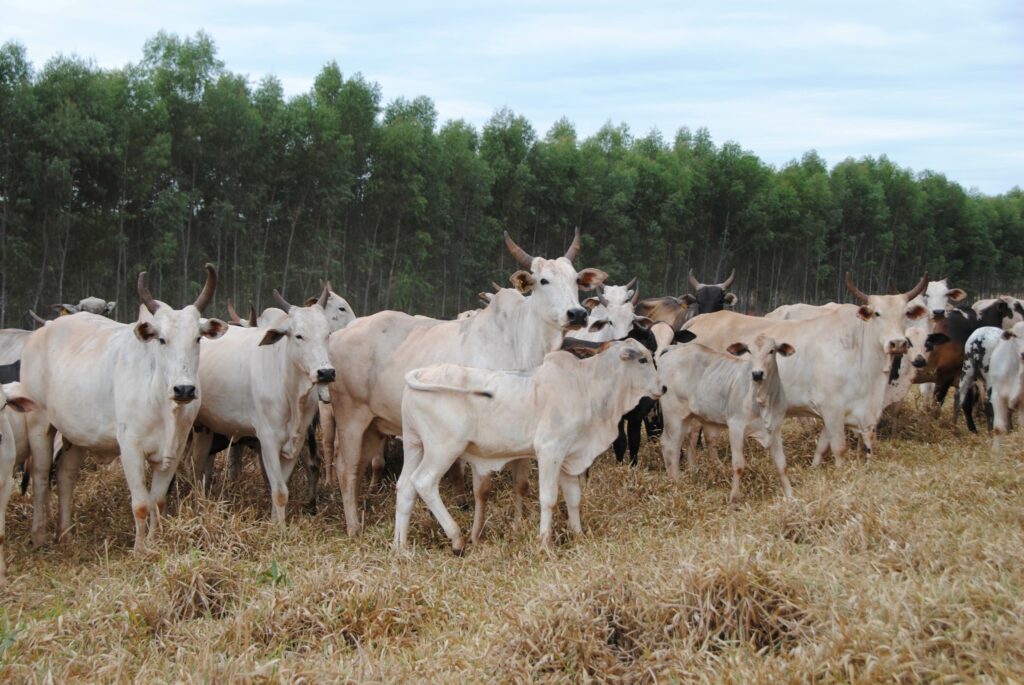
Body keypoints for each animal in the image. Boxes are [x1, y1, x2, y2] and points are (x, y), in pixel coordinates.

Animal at [18, 264, 228, 548]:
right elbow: (140, 505)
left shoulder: (174, 449)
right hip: (39, 422)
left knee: (65, 476)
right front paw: (139, 549)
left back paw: (66, 534)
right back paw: (40, 537)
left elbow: (158, 502)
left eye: (198, 338)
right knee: (40, 476)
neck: (162, 402)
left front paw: (154, 544)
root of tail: (44, 330)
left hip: (76, 434)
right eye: (161, 339)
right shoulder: (130, 448)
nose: (184, 389)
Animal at [192, 286, 335, 520]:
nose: (326, 372)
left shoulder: (296, 441)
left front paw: (276, 522)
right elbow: (278, 489)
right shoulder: (267, 440)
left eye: (327, 334)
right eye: (298, 335)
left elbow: (281, 488)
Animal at [327, 227, 602, 536]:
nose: (577, 313)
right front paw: (474, 535)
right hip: (350, 417)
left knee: (361, 467)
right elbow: (482, 488)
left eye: (576, 279)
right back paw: (353, 527)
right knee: (346, 469)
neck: (520, 343)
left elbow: (521, 483)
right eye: (543, 280)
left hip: (374, 426)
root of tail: (340, 334)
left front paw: (517, 527)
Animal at [395, 339, 659, 552]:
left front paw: (578, 534)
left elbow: (573, 498)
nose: (662, 388)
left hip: (414, 445)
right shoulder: (550, 451)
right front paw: (545, 543)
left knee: (405, 487)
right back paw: (457, 539)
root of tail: (424, 373)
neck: (585, 387)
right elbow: (549, 498)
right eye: (643, 359)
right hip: (443, 448)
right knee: (423, 482)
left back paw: (401, 548)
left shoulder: (569, 456)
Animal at [659, 333, 794, 499]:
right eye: (749, 351)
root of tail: (673, 349)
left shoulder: (776, 429)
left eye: (772, 351)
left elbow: (782, 464)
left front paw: (790, 495)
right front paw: (734, 497)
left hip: (687, 418)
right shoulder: (736, 427)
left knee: (682, 442)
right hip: (673, 416)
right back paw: (676, 481)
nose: (757, 374)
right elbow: (738, 465)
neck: (762, 400)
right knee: (670, 445)